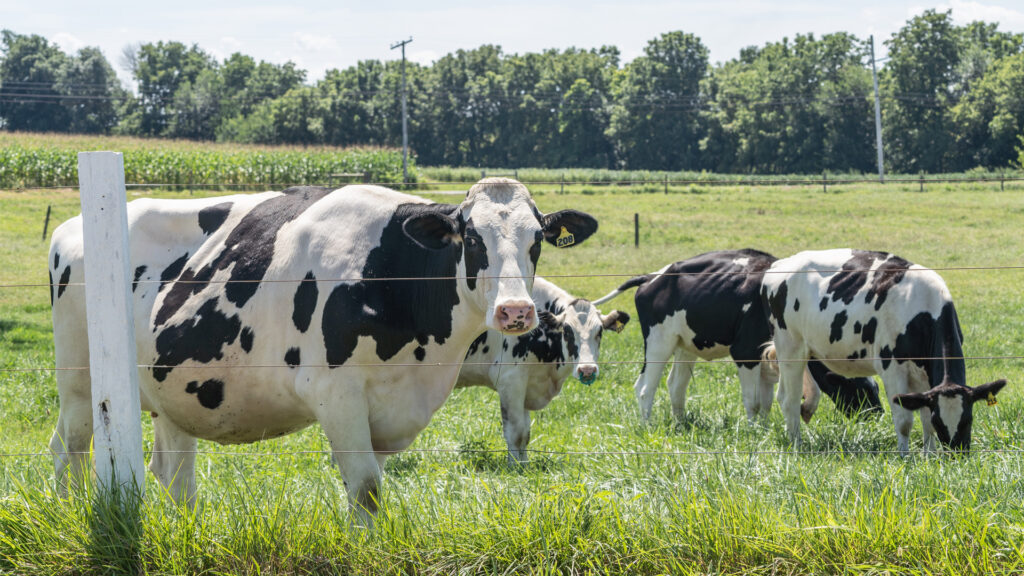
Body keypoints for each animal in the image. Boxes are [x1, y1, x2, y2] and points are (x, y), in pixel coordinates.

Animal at [49, 177, 598, 518]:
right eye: (472, 238)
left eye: (536, 240)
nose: (515, 311)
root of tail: (72, 225)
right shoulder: (335, 393)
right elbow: (367, 489)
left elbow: (370, 485)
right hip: (80, 382)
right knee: (70, 447)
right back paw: (72, 513)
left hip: (172, 392)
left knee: (174, 475)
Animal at [458, 274, 630, 461]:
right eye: (567, 331)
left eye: (599, 332)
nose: (587, 370)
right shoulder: (510, 381)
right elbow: (515, 434)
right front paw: (514, 466)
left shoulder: (527, 383)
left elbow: (525, 434)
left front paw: (524, 464)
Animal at [598, 249, 884, 420]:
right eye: (856, 387)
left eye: (873, 387)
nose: (877, 416)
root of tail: (652, 276)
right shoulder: (745, 352)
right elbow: (754, 400)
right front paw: (753, 431)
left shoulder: (772, 356)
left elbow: (768, 401)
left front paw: (767, 428)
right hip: (659, 342)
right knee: (645, 388)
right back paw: (647, 426)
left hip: (684, 345)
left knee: (675, 386)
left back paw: (680, 424)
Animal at [761, 249, 1007, 450]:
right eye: (940, 422)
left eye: (968, 419)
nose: (958, 455)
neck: (923, 310)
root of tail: (780, 264)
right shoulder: (892, 368)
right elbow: (905, 421)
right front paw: (905, 457)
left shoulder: (924, 374)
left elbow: (924, 415)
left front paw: (929, 456)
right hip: (790, 346)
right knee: (790, 400)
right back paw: (797, 446)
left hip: (804, 350)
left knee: (788, 394)